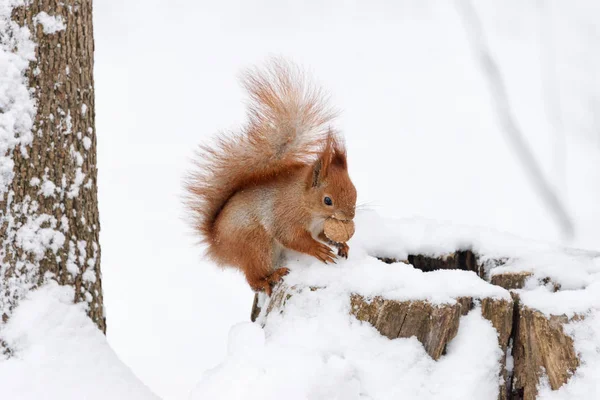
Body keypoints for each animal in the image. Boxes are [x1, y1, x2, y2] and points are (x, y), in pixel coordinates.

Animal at [185, 60, 356, 296]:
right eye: (327, 200)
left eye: (355, 191)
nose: (349, 217)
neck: (305, 204)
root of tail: (218, 246)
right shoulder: (285, 216)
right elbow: (292, 237)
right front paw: (317, 249)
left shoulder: (319, 226)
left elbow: (324, 235)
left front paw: (342, 245)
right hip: (257, 244)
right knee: (253, 278)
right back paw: (270, 278)